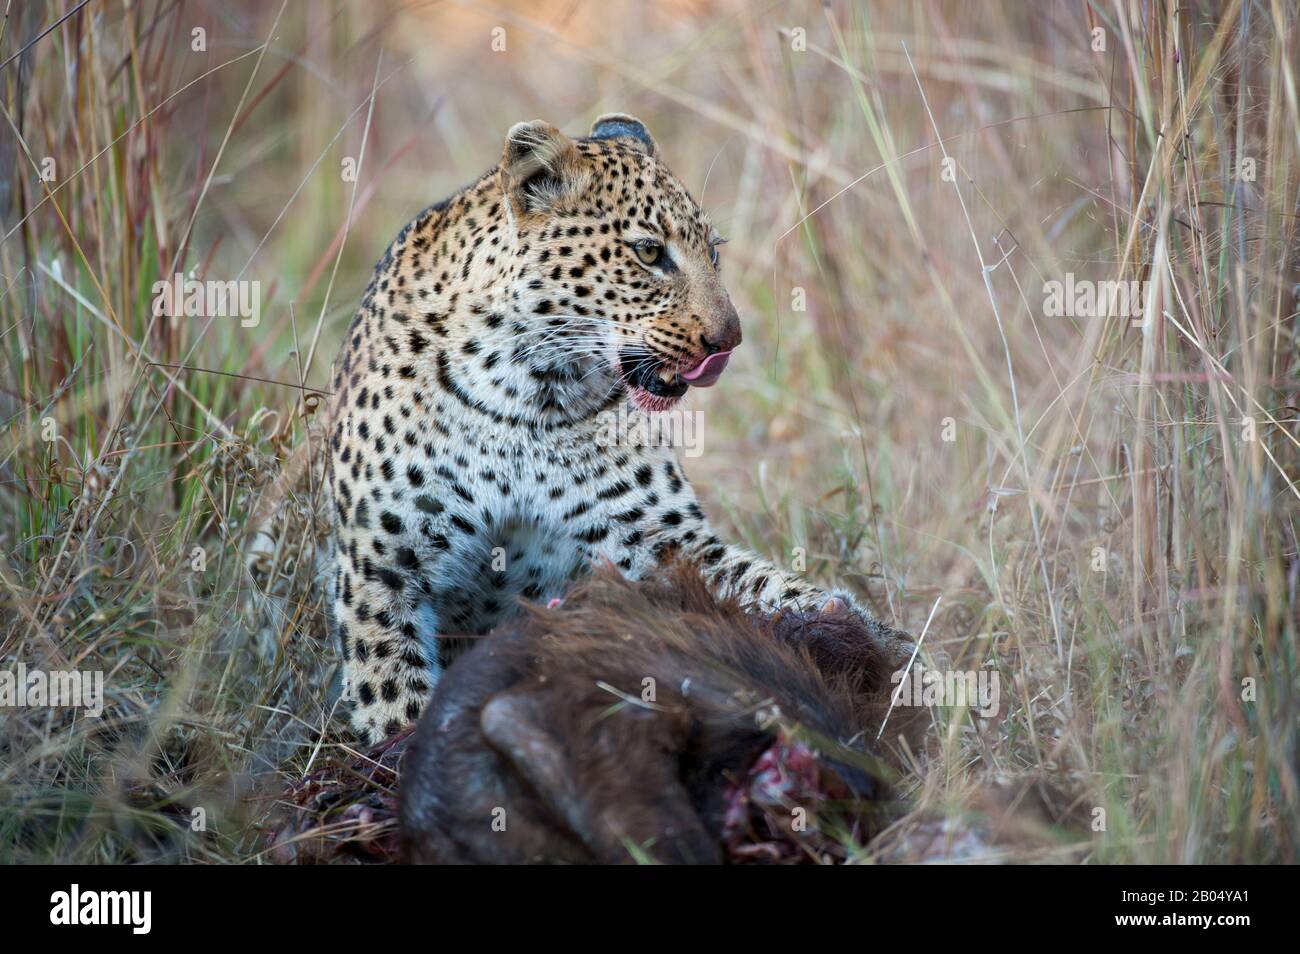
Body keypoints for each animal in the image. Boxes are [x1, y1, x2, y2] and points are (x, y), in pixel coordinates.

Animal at [324, 113, 914, 744]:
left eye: (713, 252)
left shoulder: (663, 540)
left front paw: (883, 647)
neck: (522, 388)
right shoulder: (382, 572)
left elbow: (763, 585)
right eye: (649, 252)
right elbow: (393, 699)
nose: (728, 341)